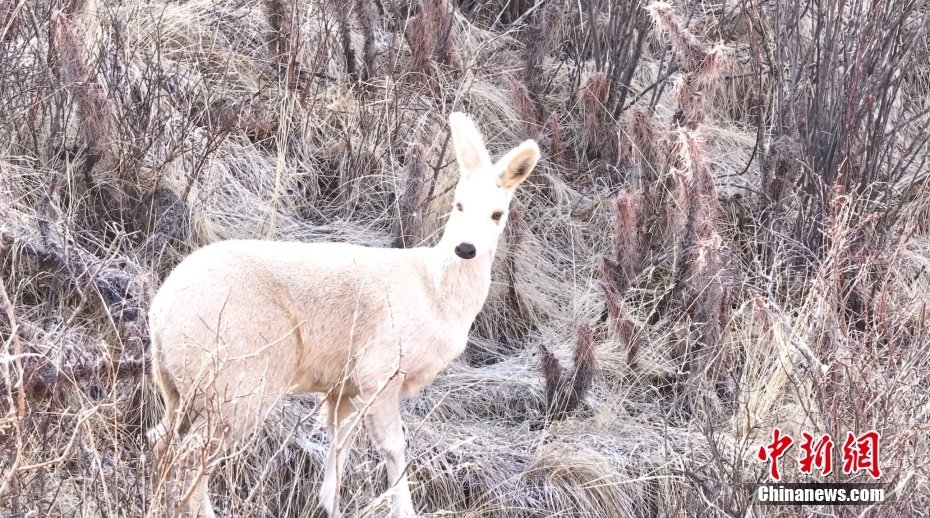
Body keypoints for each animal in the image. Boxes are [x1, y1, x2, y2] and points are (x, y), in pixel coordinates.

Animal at [145, 111, 536, 516]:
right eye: (457, 205)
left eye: (497, 214)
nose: (465, 248)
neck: (434, 291)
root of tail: (159, 311)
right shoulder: (380, 368)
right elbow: (393, 446)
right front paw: (402, 509)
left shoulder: (342, 384)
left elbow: (340, 443)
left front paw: (328, 505)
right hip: (236, 381)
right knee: (191, 455)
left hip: (177, 387)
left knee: (161, 441)